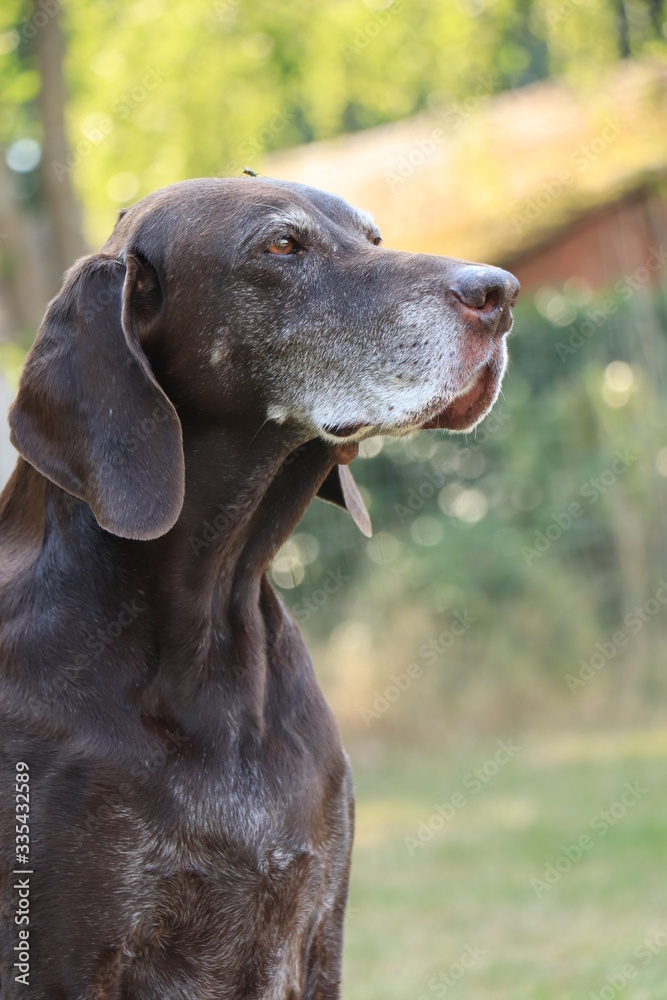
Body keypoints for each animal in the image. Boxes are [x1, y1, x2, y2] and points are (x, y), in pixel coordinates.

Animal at [0, 176, 520, 996]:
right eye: (280, 245)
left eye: (373, 238)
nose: (500, 293)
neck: (214, 621)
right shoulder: (60, 961)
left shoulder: (315, 932)